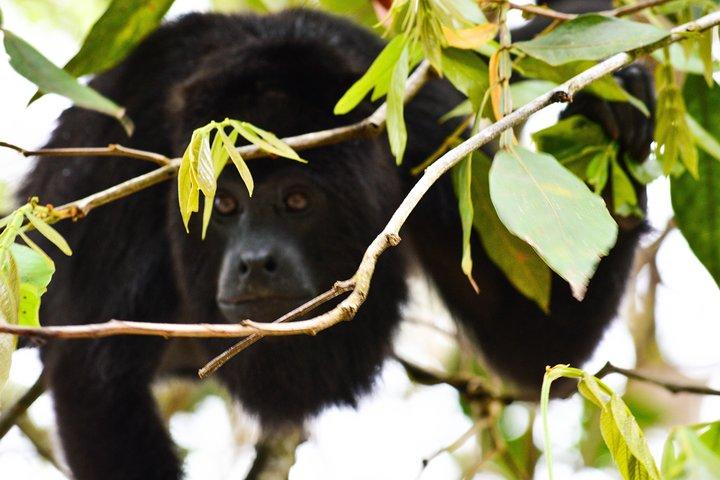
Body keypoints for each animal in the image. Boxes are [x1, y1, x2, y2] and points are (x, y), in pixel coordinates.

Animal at [16, 3, 652, 479]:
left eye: (297, 201)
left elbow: (534, 341)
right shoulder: (137, 156)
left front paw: (620, 114)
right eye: (224, 206)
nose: (255, 262)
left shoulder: (426, 132)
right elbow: (96, 376)